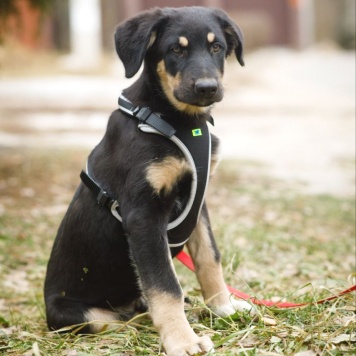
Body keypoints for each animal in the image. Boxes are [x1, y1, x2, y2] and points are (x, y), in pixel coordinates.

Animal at [44, 6, 254, 356]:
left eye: (217, 47)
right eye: (176, 50)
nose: (208, 88)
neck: (178, 120)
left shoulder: (198, 205)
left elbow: (209, 258)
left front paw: (223, 308)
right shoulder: (143, 215)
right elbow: (165, 285)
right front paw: (182, 340)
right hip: (77, 315)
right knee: (122, 319)